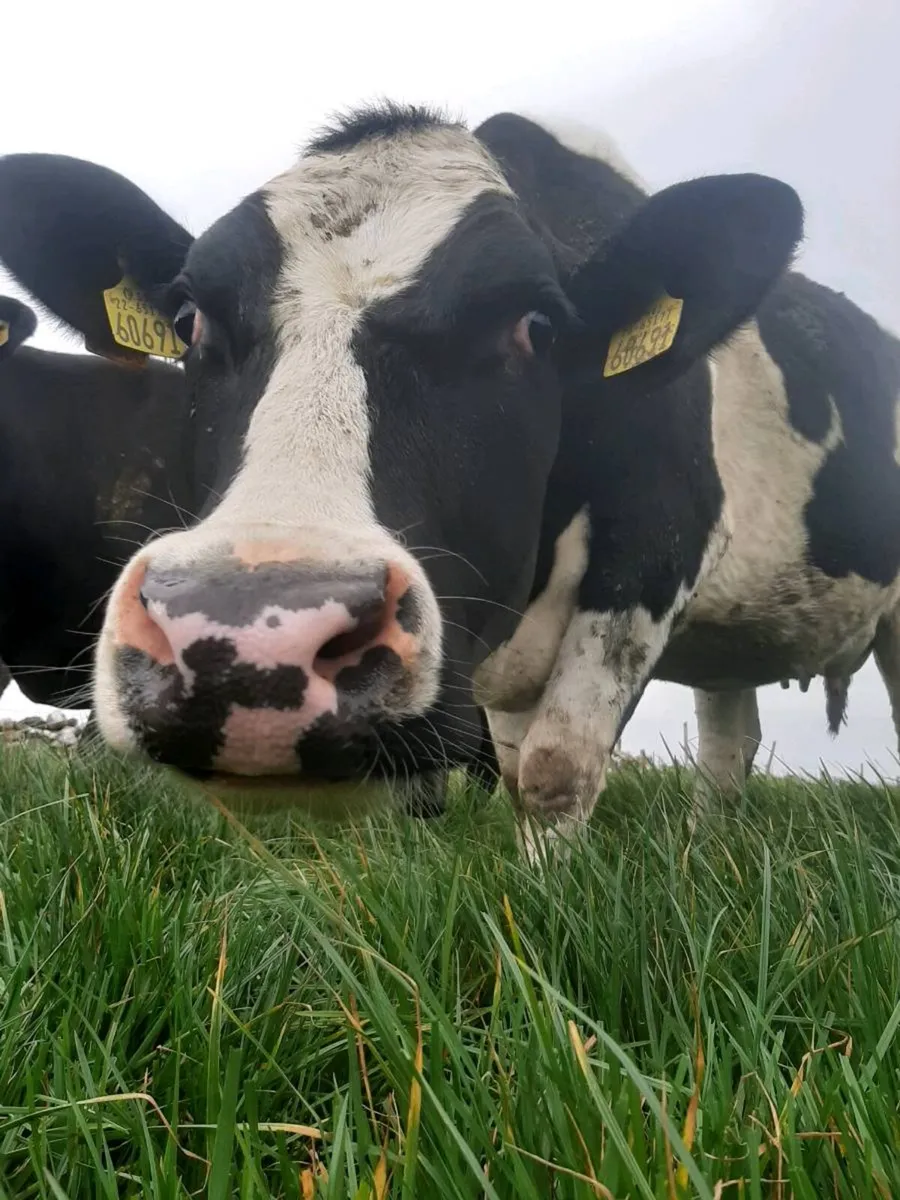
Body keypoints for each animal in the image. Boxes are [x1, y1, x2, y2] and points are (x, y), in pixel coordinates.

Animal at [4, 103, 886, 847]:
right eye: (189, 320)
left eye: (538, 324)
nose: (252, 645)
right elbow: (514, 765)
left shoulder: (656, 548)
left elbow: (554, 771)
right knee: (730, 746)